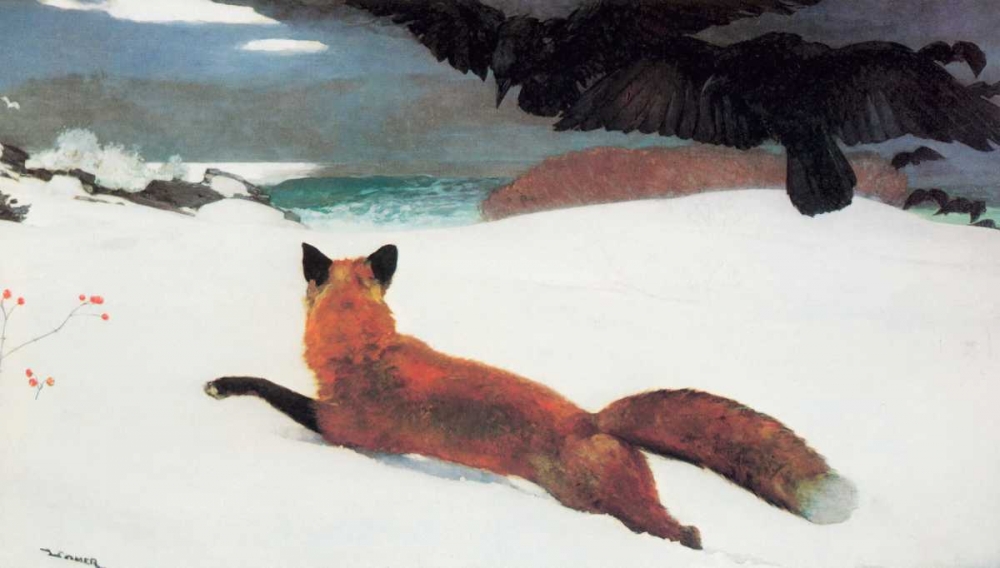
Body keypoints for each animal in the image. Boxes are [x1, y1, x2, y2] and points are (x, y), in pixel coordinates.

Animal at [204, 243, 857, 550]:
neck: (365, 351)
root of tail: (592, 419)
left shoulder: (339, 427)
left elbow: (268, 388)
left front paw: (223, 385)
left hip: (607, 505)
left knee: (682, 533)